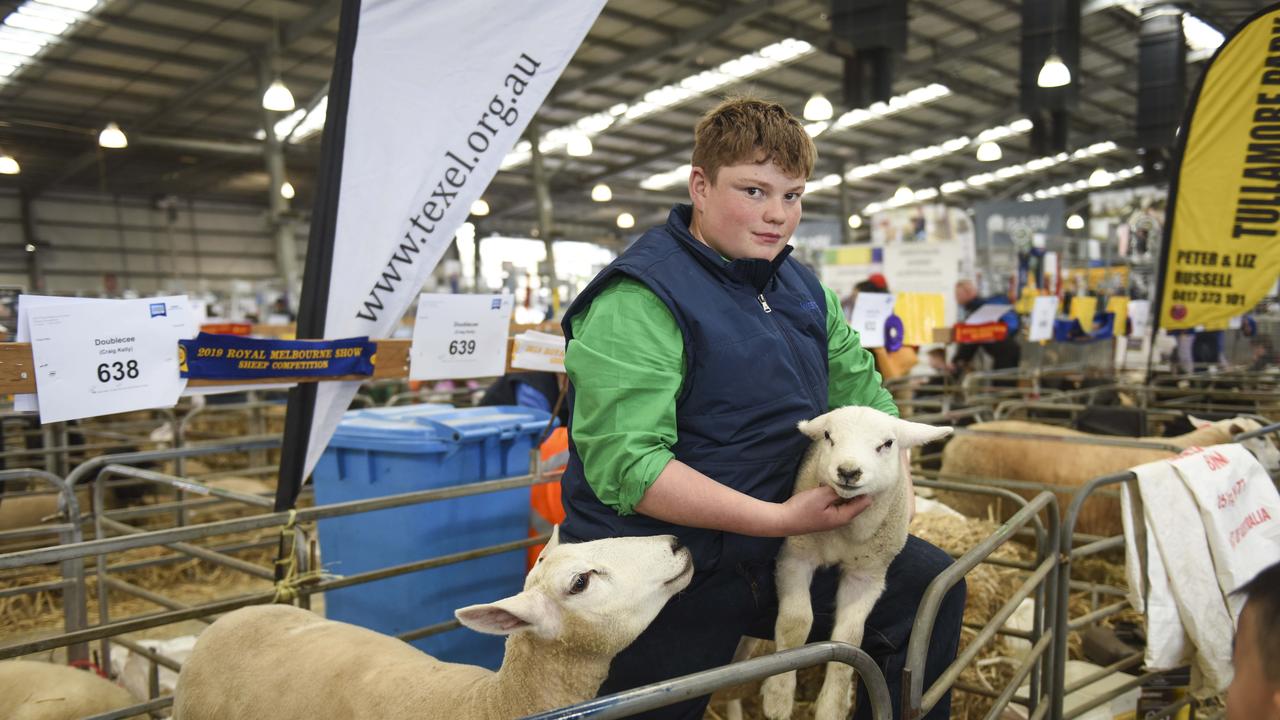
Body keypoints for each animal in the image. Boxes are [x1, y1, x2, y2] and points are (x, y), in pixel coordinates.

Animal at [757, 404, 952, 717]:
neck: (844, 533)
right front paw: (778, 696)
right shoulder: (795, 555)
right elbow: (796, 622)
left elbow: (849, 639)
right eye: (827, 436)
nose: (848, 471)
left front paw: (831, 708)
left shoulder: (868, 575)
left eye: (887, 443)